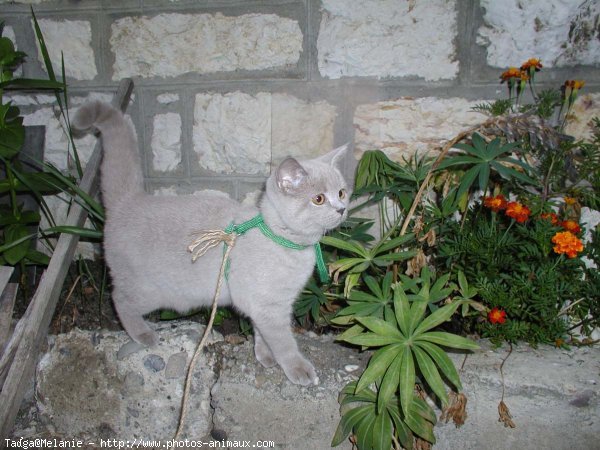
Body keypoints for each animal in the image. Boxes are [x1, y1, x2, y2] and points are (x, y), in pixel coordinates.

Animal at [75, 100, 356, 384]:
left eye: (342, 192)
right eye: (319, 199)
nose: (341, 208)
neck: (285, 241)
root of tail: (128, 201)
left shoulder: (262, 304)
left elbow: (261, 332)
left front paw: (263, 355)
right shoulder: (270, 306)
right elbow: (283, 341)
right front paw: (298, 368)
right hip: (150, 289)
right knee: (119, 299)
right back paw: (143, 334)